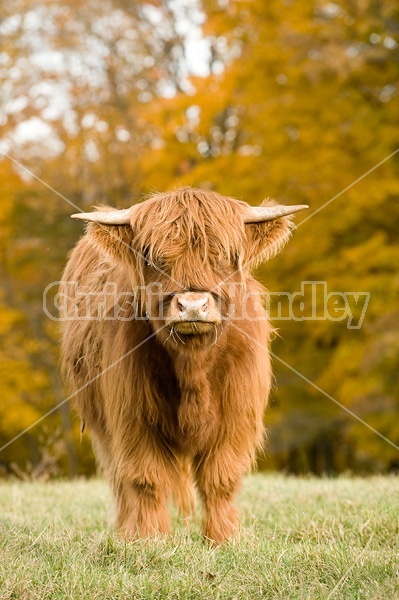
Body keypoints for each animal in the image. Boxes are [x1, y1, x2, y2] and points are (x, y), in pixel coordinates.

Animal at [59, 188, 308, 544]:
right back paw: (125, 528)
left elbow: (221, 478)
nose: (193, 305)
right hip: (100, 419)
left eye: (226, 255)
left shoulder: (237, 413)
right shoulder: (133, 415)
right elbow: (145, 478)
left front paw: (222, 538)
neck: (194, 368)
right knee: (119, 480)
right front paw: (150, 538)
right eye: (153, 259)